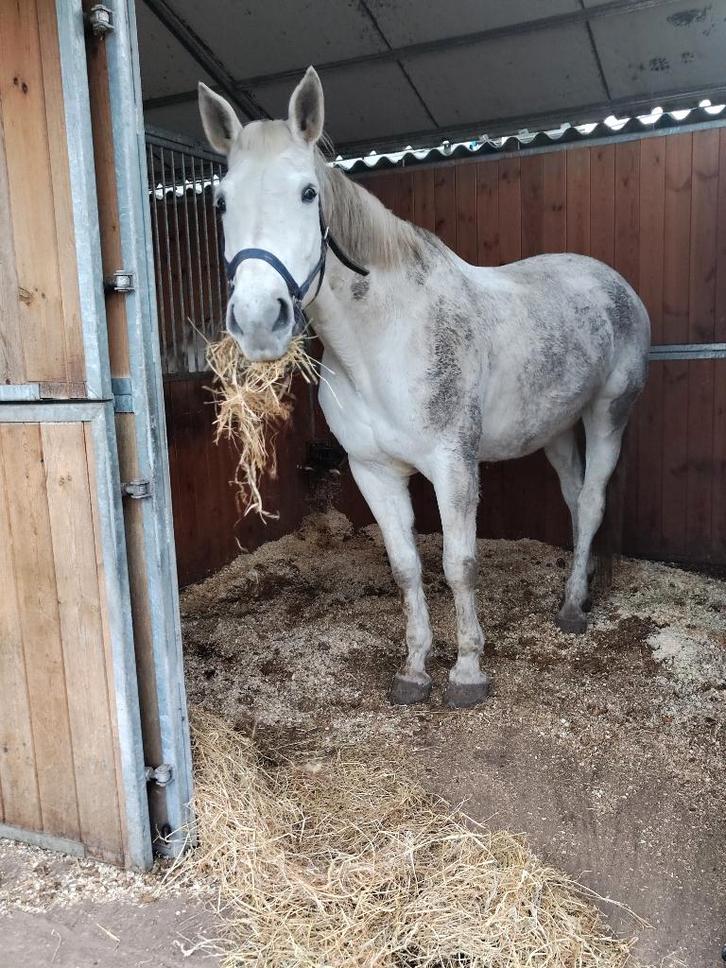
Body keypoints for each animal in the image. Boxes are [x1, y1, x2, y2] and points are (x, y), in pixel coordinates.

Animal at [197, 67, 650, 709]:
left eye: (308, 193)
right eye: (221, 201)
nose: (260, 319)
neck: (382, 340)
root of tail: (613, 284)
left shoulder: (453, 466)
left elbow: (459, 565)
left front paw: (467, 673)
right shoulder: (373, 472)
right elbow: (406, 567)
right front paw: (414, 670)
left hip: (608, 413)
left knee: (590, 503)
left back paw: (571, 611)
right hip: (557, 428)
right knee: (573, 497)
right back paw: (578, 589)